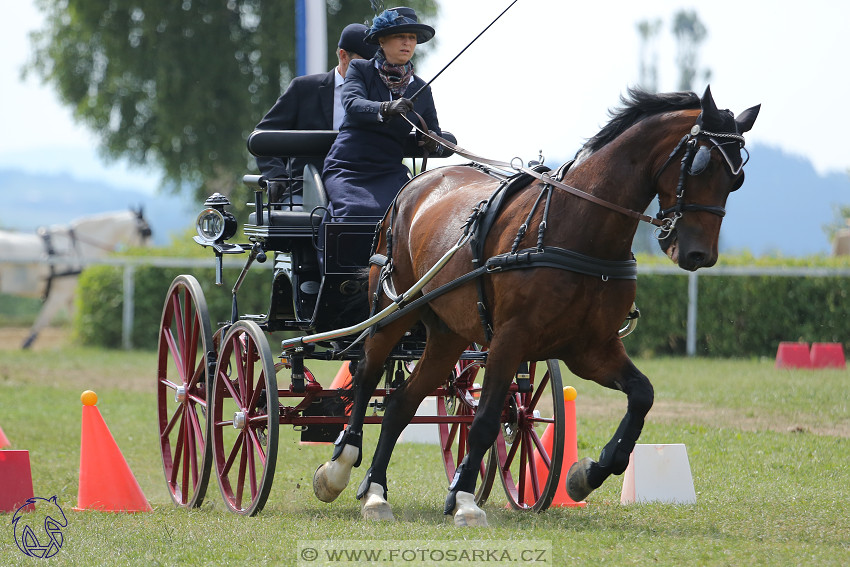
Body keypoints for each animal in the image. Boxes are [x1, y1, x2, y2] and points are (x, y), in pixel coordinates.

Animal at [0, 209, 151, 348]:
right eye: (147, 232)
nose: (151, 253)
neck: (80, 248)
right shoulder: (60, 293)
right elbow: (44, 318)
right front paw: (27, 343)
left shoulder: (70, 296)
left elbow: (75, 319)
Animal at [310, 85, 756, 528]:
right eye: (699, 165)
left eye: (737, 179)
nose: (699, 254)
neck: (577, 227)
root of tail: (416, 184)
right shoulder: (510, 339)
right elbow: (487, 419)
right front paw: (465, 499)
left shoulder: (590, 348)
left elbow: (641, 395)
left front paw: (587, 474)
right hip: (393, 310)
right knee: (366, 377)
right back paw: (340, 470)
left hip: (447, 333)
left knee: (401, 402)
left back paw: (375, 492)